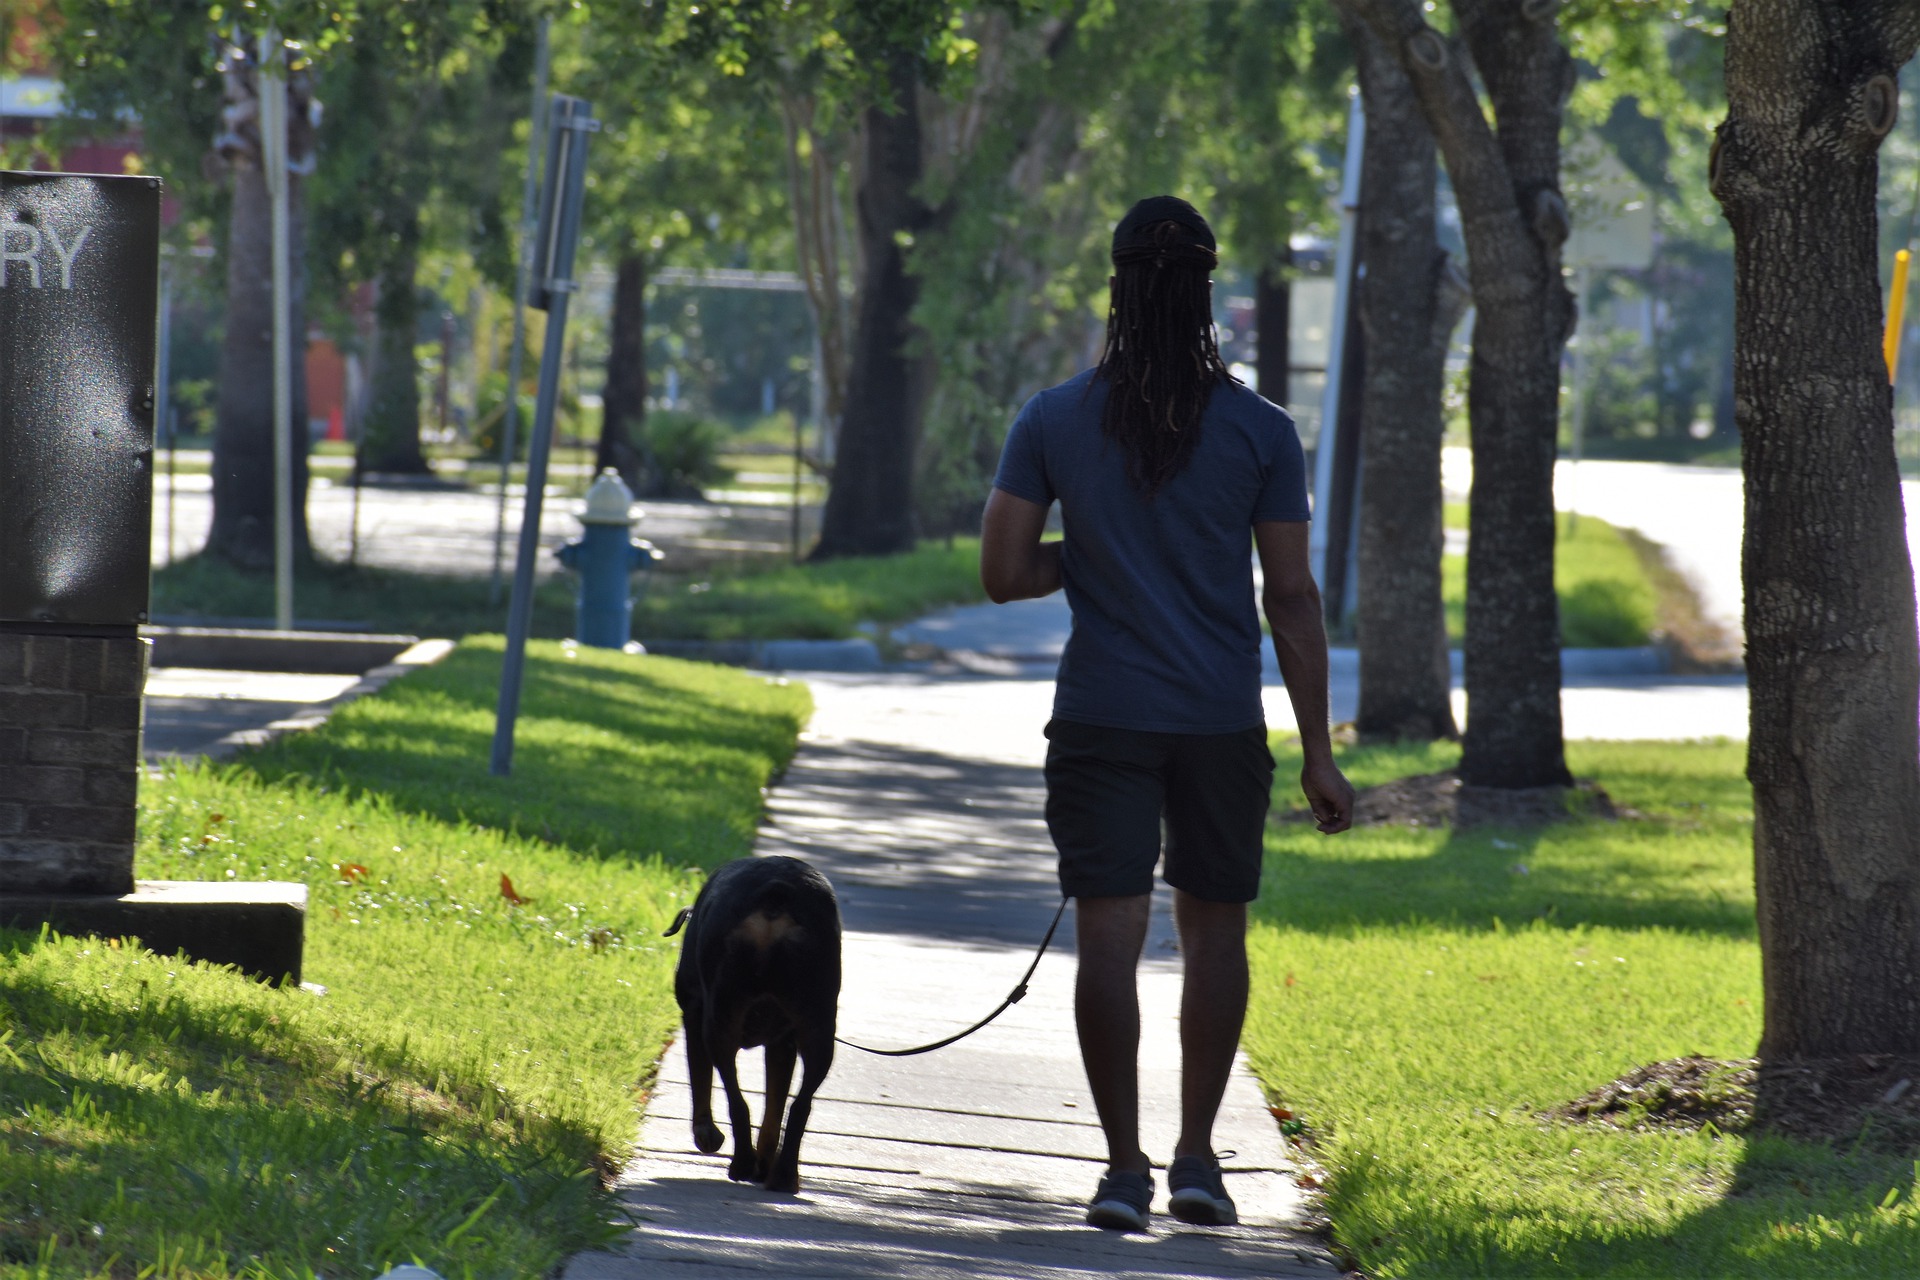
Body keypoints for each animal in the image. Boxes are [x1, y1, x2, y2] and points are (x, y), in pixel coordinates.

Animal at [664, 855, 837, 1197]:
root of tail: (775, 891)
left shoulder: (693, 1015)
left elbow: (700, 1077)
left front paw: (705, 1133)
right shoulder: (783, 1043)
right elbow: (774, 1106)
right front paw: (765, 1164)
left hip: (720, 1017)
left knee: (737, 1100)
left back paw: (742, 1163)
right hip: (820, 1022)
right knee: (799, 1106)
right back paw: (783, 1176)